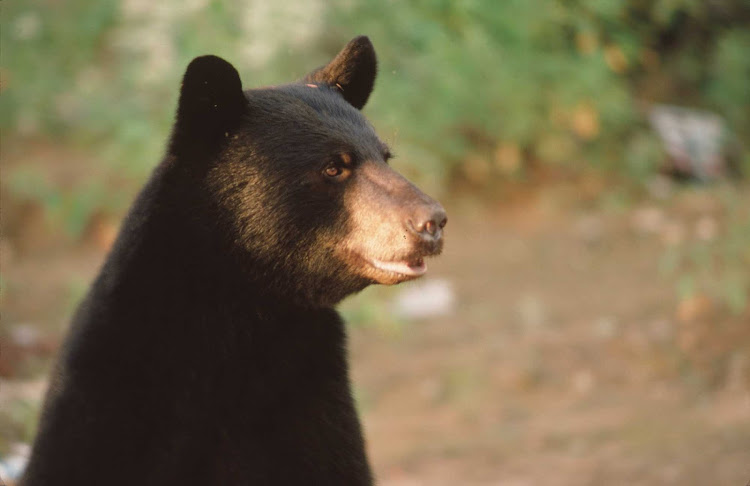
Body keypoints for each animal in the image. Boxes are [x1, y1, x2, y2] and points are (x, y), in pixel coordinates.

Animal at [22, 36, 446, 484]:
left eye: (385, 156)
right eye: (334, 167)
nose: (433, 221)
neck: (242, 319)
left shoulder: (312, 406)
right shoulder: (109, 407)